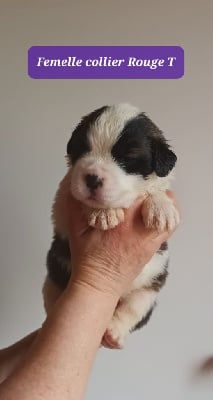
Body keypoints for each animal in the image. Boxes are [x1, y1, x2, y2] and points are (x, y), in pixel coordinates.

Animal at [42, 104, 178, 350]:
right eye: (82, 149)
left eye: (128, 157)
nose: (92, 178)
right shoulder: (64, 197)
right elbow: (80, 197)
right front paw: (103, 213)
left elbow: (154, 189)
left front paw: (161, 207)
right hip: (51, 283)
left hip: (149, 291)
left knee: (133, 309)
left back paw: (114, 334)